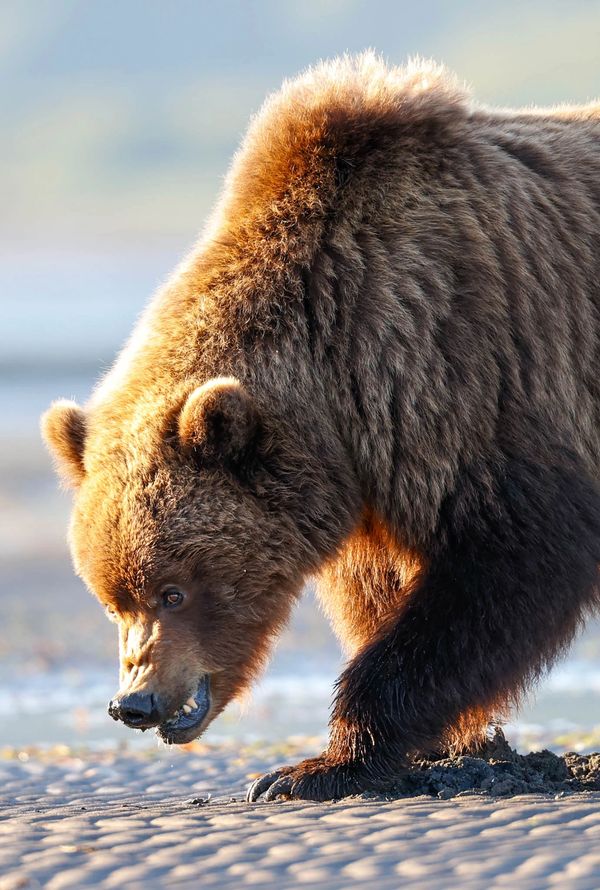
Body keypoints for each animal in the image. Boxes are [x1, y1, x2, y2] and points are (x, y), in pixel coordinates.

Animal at [42, 54, 600, 802]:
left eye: (173, 589)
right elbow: (376, 598)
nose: (134, 702)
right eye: (112, 601)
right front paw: (438, 744)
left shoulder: (467, 373)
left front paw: (313, 767)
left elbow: (508, 565)